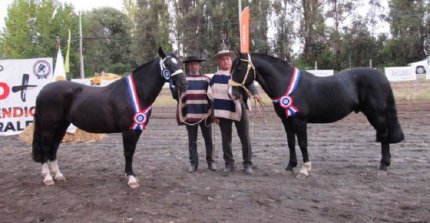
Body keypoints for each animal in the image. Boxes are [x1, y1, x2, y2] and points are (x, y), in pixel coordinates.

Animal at [32, 47, 187, 188]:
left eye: (180, 63)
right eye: (167, 64)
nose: (183, 83)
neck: (135, 93)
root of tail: (43, 90)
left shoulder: (136, 129)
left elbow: (132, 151)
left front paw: (130, 174)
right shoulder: (128, 130)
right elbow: (128, 152)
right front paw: (131, 179)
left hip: (61, 125)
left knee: (54, 147)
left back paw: (58, 175)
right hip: (48, 126)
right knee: (45, 147)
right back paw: (48, 178)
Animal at [230, 52, 404, 178]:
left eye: (238, 69)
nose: (232, 94)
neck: (285, 83)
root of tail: (382, 77)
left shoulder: (300, 120)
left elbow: (302, 143)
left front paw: (304, 169)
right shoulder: (287, 121)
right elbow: (291, 143)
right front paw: (290, 167)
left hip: (376, 114)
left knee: (384, 135)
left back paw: (383, 166)